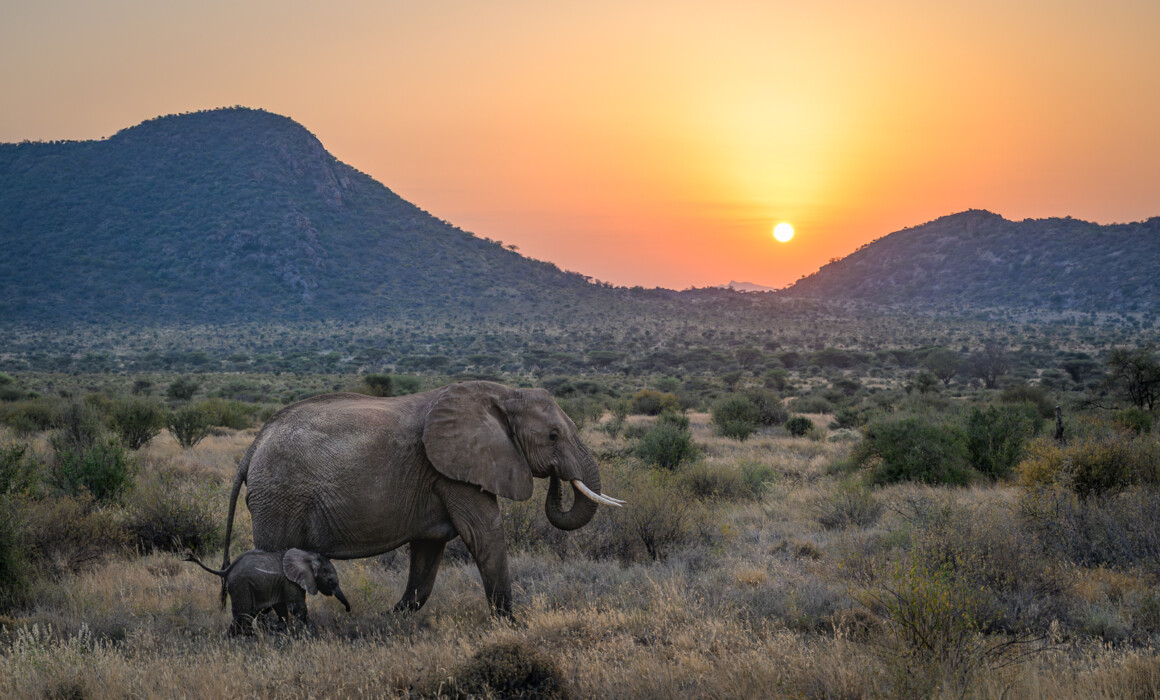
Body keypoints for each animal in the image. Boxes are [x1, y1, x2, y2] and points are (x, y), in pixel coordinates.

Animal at [185, 548, 351, 636]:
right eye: (331, 581)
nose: (348, 609)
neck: (307, 556)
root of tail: (227, 570)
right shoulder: (291, 582)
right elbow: (298, 609)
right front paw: (308, 633)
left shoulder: (281, 585)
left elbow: (282, 609)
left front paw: (285, 631)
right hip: (241, 586)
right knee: (243, 615)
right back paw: (248, 637)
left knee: (245, 615)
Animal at [220, 380, 623, 618]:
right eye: (553, 436)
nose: (556, 479)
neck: (503, 393)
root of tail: (254, 444)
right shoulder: (452, 470)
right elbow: (484, 534)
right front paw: (510, 624)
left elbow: (429, 550)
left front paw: (393, 618)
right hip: (278, 498)